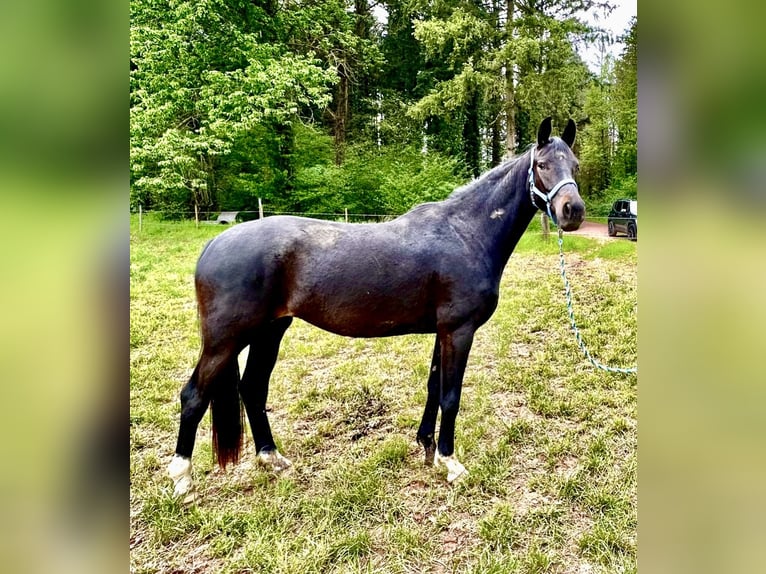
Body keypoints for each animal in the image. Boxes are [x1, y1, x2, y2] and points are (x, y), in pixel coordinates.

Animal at [170, 118, 588, 504]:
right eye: (543, 164)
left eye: (575, 165)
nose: (573, 211)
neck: (465, 234)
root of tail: (213, 244)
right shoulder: (459, 330)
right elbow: (451, 396)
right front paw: (451, 463)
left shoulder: (442, 331)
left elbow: (434, 388)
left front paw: (427, 447)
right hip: (226, 340)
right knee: (194, 396)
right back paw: (183, 481)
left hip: (270, 331)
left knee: (253, 388)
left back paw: (272, 459)